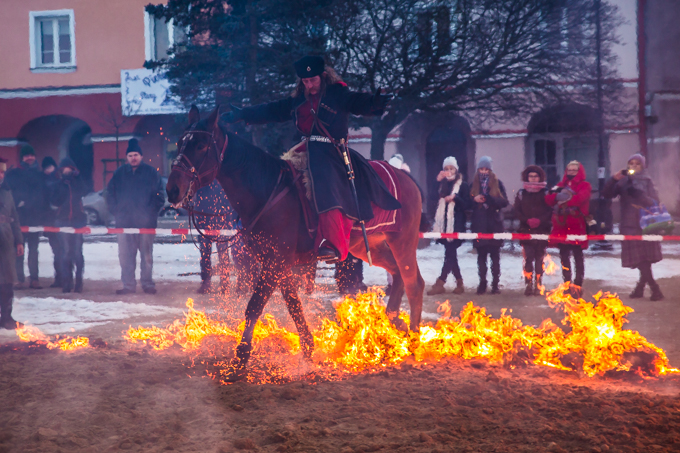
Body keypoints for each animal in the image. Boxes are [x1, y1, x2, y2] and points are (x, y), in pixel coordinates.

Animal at [169, 104, 424, 380]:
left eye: (201, 145)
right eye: (180, 142)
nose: (172, 190)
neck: (266, 190)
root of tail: (408, 179)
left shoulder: (274, 262)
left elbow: (254, 307)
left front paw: (240, 359)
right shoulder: (279, 264)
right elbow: (294, 305)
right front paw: (308, 350)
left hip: (402, 242)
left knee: (414, 283)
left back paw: (413, 339)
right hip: (371, 248)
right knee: (398, 275)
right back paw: (394, 321)